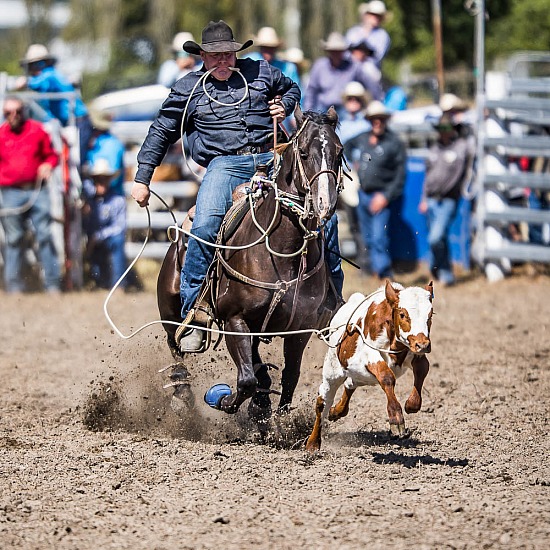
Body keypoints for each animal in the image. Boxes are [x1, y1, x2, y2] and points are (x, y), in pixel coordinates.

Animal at [157, 108, 342, 424]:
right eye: (304, 153)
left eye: (339, 152)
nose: (324, 204)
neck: (282, 253)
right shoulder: (235, 320)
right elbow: (245, 380)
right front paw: (224, 400)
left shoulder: (300, 329)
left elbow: (289, 377)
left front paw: (278, 422)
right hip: (170, 312)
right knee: (176, 348)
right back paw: (183, 398)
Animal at [306, 280, 436, 452]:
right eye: (402, 314)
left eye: (430, 315)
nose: (423, 345)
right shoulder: (366, 357)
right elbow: (387, 376)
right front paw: (396, 419)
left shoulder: (416, 355)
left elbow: (422, 370)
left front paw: (411, 404)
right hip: (333, 370)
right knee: (323, 400)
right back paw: (313, 443)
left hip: (360, 376)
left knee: (350, 385)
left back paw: (336, 411)